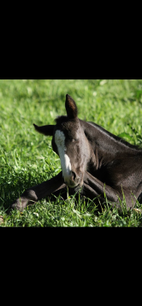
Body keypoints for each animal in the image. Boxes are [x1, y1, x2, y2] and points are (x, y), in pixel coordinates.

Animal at [11, 94, 142, 212]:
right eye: (54, 149)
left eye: (75, 139)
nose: (70, 177)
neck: (115, 160)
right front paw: (17, 205)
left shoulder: (125, 199)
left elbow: (81, 176)